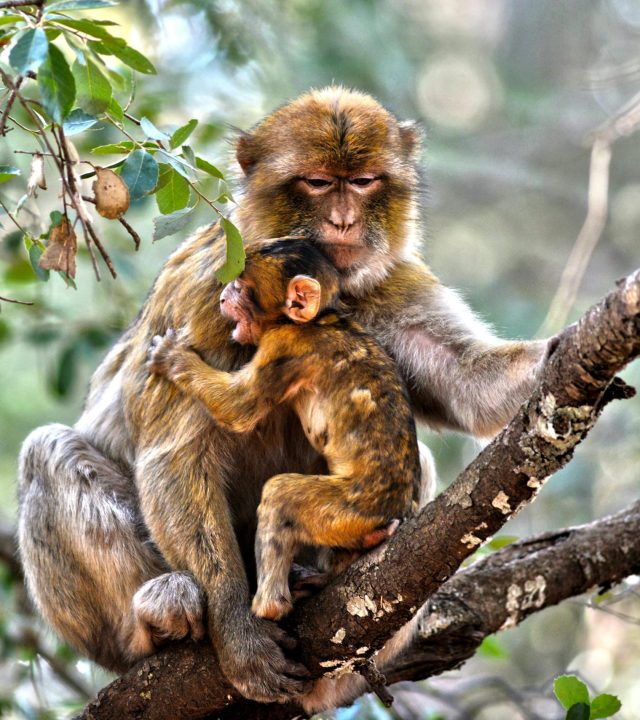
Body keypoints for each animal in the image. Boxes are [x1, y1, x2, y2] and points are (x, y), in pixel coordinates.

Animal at [147, 238, 422, 622]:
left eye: (241, 286)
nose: (223, 297)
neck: (320, 319)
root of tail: (402, 506)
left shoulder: (284, 345)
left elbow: (240, 407)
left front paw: (174, 358)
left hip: (355, 508)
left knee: (281, 496)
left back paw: (269, 606)